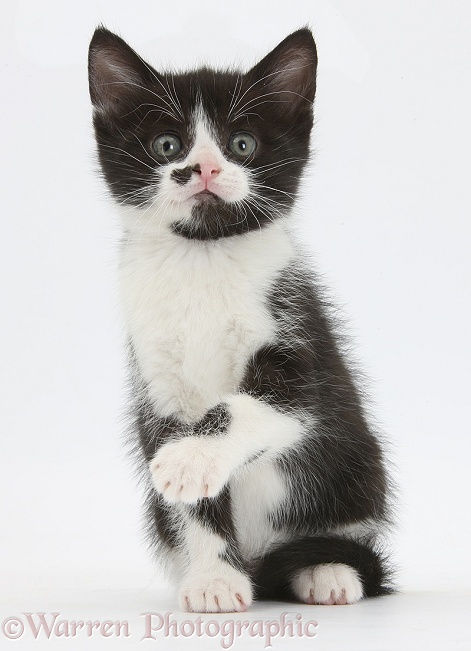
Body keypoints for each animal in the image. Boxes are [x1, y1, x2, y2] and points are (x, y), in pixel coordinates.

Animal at [88, 28, 394, 612]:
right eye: (168, 146)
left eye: (242, 145)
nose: (204, 168)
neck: (203, 256)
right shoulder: (159, 386)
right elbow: (195, 506)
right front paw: (213, 579)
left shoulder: (300, 346)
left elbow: (254, 405)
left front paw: (188, 459)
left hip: (357, 472)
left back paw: (326, 570)